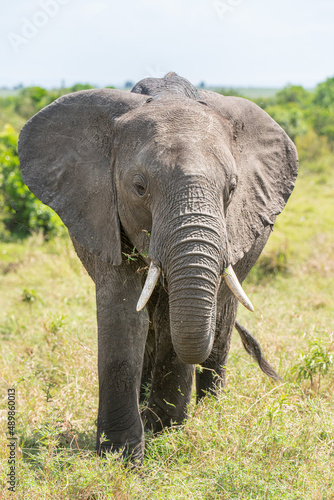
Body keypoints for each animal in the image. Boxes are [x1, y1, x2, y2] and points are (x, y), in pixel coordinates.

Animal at [18, 72, 298, 462]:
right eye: (139, 187)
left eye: (231, 188)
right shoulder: (99, 210)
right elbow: (123, 311)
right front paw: (120, 455)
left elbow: (170, 320)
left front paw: (164, 432)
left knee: (221, 318)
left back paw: (210, 412)